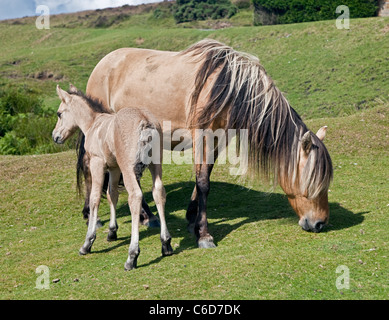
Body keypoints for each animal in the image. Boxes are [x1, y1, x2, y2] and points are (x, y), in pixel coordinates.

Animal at [79, 40, 334, 249]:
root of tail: (102, 65)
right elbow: (203, 183)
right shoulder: (203, 137)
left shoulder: (218, 140)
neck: (227, 87)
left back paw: (146, 216)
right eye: (311, 182)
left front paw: (192, 217)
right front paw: (204, 234)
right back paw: (96, 215)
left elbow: (204, 177)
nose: (320, 223)